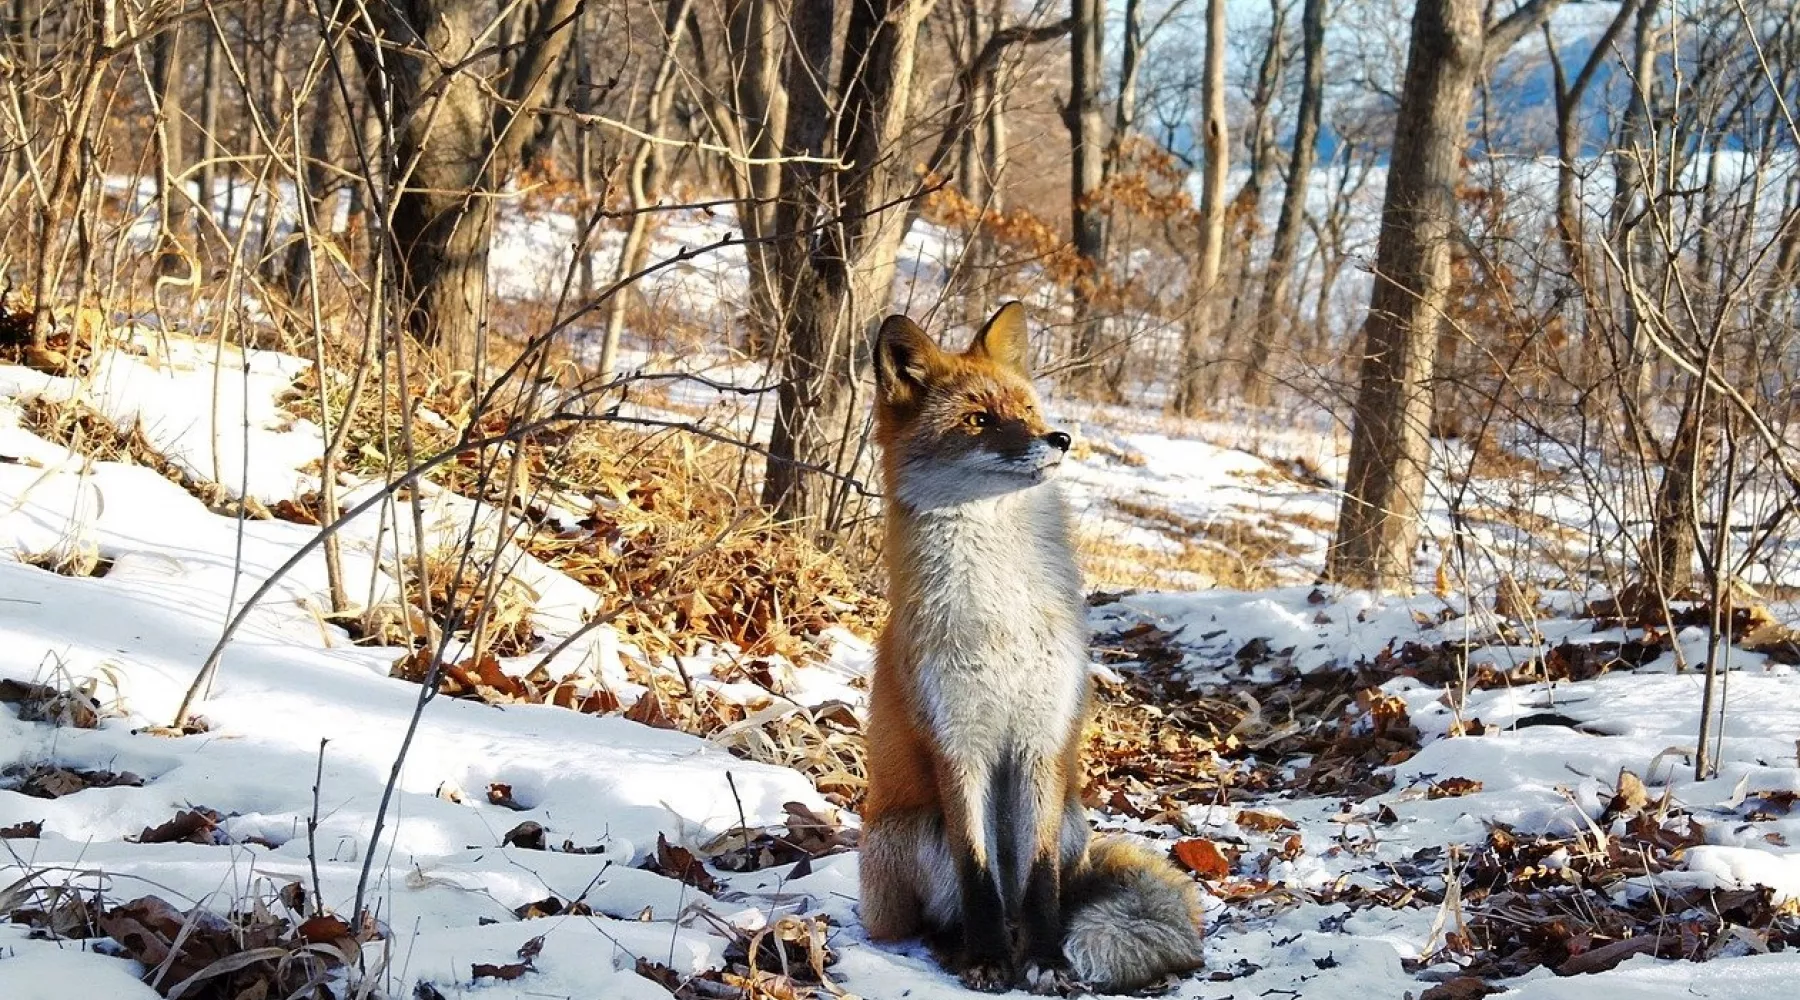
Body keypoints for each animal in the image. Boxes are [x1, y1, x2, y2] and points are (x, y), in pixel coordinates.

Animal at [860, 302, 1209, 992]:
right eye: (977, 420)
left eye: (1026, 409)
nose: (1060, 439)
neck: (1005, 616)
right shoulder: (958, 743)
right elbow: (978, 877)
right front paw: (989, 959)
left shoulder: (1040, 742)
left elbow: (1041, 883)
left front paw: (1046, 959)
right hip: (908, 833)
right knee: (937, 916)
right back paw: (958, 945)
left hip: (1073, 820)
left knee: (1045, 889)